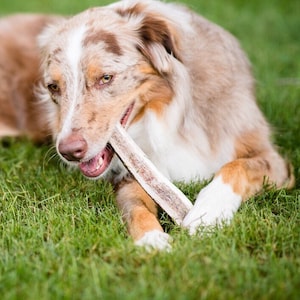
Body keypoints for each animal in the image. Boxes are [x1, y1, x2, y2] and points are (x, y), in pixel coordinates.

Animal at [0, 0, 294, 251]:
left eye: (106, 78)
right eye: (53, 87)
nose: (69, 152)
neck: (168, 112)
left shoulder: (273, 159)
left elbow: (236, 167)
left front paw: (207, 214)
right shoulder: (130, 175)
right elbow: (136, 207)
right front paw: (152, 240)